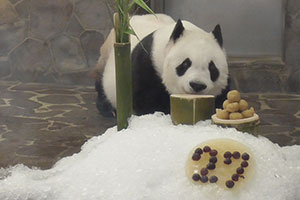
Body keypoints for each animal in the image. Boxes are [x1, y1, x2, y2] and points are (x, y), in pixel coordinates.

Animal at [95, 13, 229, 117]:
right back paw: (109, 110)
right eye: (185, 64)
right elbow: (145, 100)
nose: (197, 85)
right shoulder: (146, 65)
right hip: (107, 56)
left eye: (212, 68)